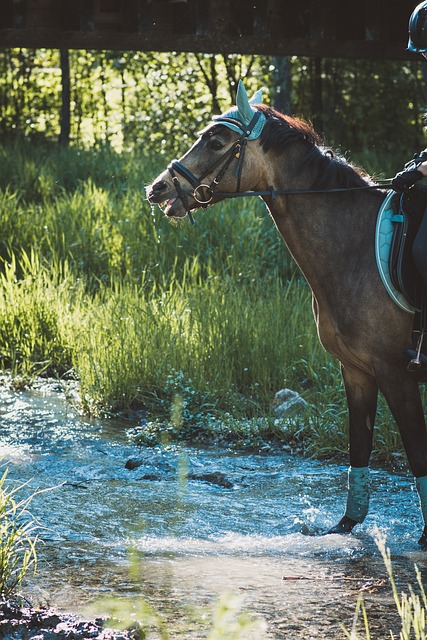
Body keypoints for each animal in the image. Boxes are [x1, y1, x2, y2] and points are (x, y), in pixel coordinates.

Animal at [145, 81, 427, 544]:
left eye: (217, 141)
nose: (159, 189)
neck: (355, 250)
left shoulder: (396, 374)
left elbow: (416, 453)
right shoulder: (357, 371)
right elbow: (359, 446)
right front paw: (344, 526)